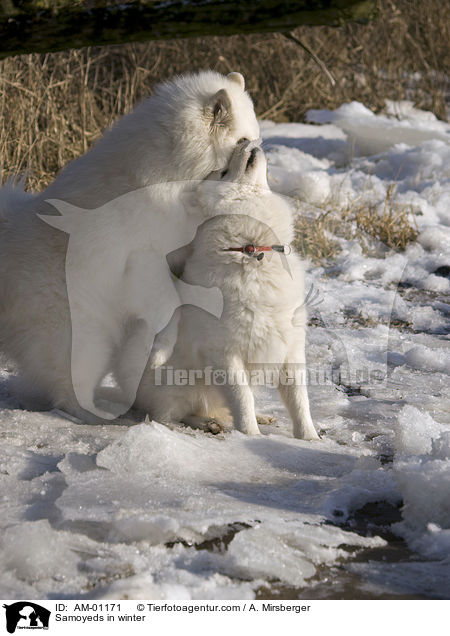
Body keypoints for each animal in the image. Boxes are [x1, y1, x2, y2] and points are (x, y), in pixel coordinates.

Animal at [0, 71, 260, 422]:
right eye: (242, 140)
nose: (258, 151)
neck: (170, 173)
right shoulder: (144, 261)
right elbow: (169, 304)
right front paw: (163, 347)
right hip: (87, 340)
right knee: (67, 391)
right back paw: (96, 414)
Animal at [137, 142, 320, 440]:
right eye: (223, 172)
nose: (246, 143)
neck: (250, 250)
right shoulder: (226, 354)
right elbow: (241, 399)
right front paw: (252, 436)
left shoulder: (290, 348)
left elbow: (299, 401)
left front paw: (310, 439)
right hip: (179, 386)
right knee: (170, 416)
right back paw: (206, 424)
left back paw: (259, 416)